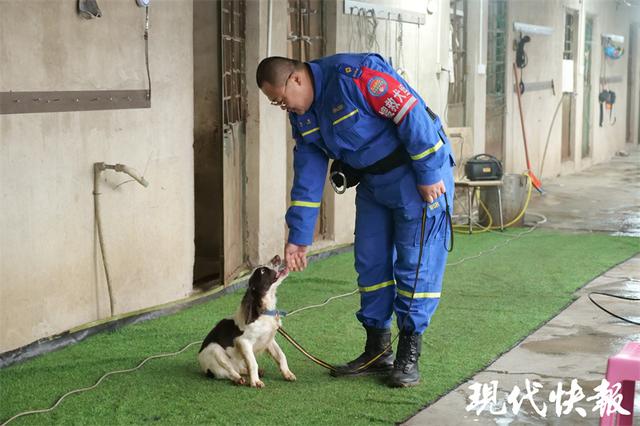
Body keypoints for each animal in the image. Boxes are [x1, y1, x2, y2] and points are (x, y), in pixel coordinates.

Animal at [198, 255, 296, 388]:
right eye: (262, 271)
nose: (276, 257)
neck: (264, 312)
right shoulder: (243, 342)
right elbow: (253, 363)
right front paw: (255, 382)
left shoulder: (269, 339)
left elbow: (281, 355)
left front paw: (287, 374)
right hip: (214, 349)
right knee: (230, 371)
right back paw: (238, 379)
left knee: (239, 368)